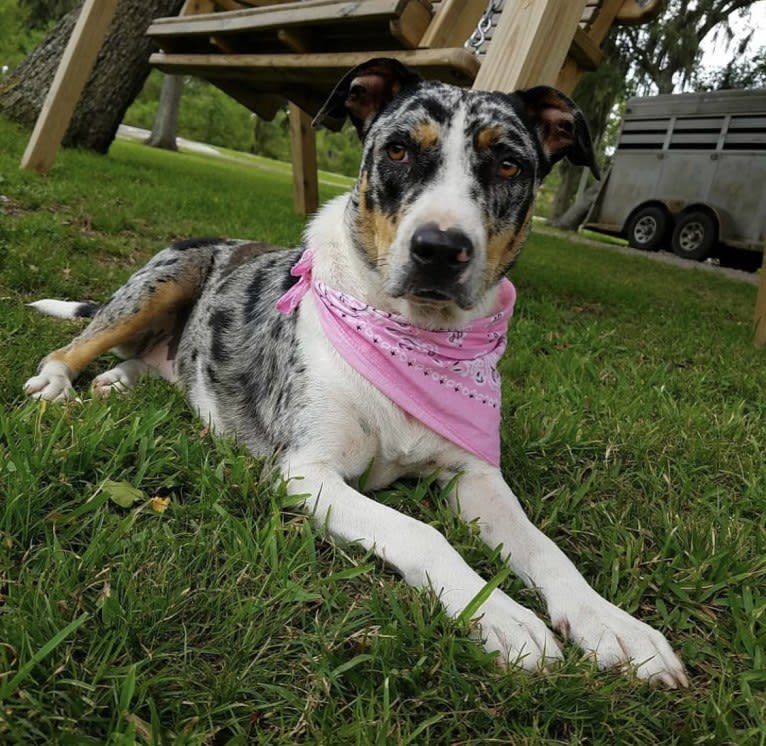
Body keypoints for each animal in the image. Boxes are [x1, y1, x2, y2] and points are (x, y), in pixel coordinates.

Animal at [25, 56, 688, 684]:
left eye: (507, 164)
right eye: (397, 150)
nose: (439, 249)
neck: (412, 336)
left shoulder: (474, 476)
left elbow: (547, 549)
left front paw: (613, 625)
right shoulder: (307, 473)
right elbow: (424, 533)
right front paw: (502, 616)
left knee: (149, 364)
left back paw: (120, 382)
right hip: (166, 278)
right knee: (79, 345)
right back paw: (58, 384)